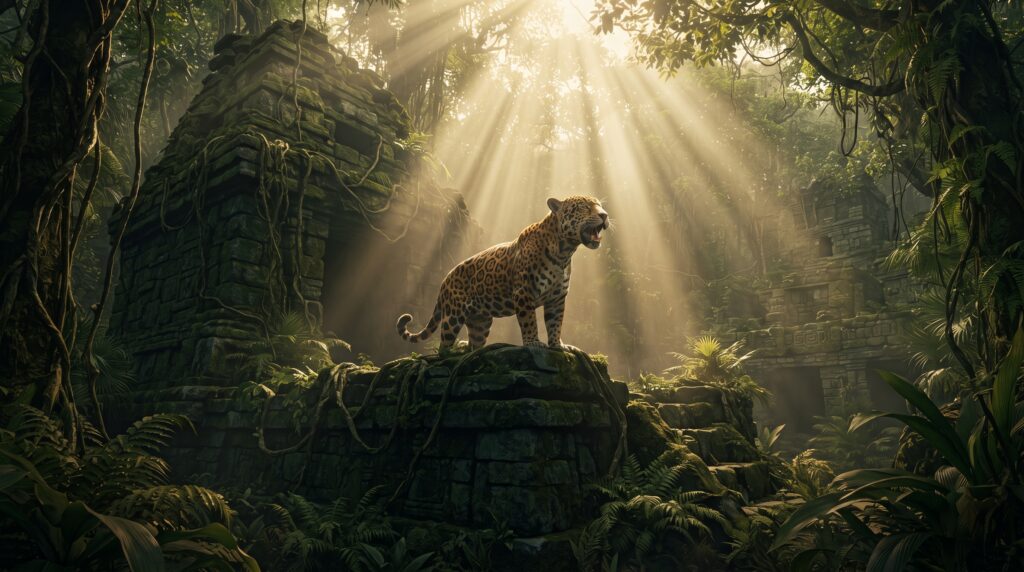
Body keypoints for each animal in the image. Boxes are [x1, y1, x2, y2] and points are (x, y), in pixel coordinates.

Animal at [396, 195, 609, 351]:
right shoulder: (524, 292)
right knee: (443, 346)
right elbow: (529, 321)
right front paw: (533, 343)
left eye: (599, 205)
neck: (564, 251)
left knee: (474, 345)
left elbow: (555, 323)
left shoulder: (557, 298)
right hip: (452, 317)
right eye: (583, 207)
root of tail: (444, 280)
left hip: (480, 322)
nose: (605, 215)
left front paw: (558, 345)